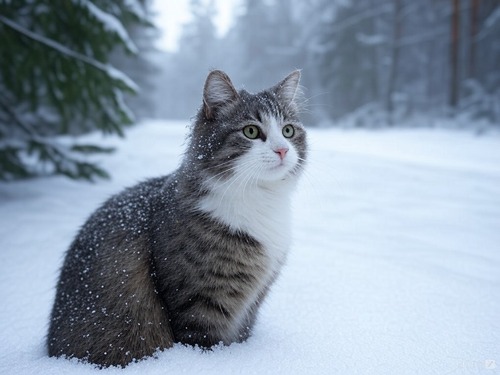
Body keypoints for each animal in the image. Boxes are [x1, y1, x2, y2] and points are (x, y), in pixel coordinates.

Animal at [47, 70, 306, 368]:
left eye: (288, 131)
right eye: (251, 131)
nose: (282, 150)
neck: (261, 200)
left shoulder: (252, 304)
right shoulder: (198, 304)